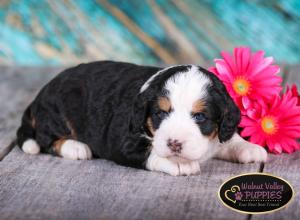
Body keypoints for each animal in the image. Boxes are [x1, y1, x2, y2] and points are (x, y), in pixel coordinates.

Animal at [15, 60, 268, 175]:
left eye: (199, 116)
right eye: (160, 113)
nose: (174, 143)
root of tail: (40, 95)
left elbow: (228, 138)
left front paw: (247, 148)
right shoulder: (122, 141)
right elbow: (150, 152)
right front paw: (177, 162)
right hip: (57, 113)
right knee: (46, 140)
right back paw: (76, 147)